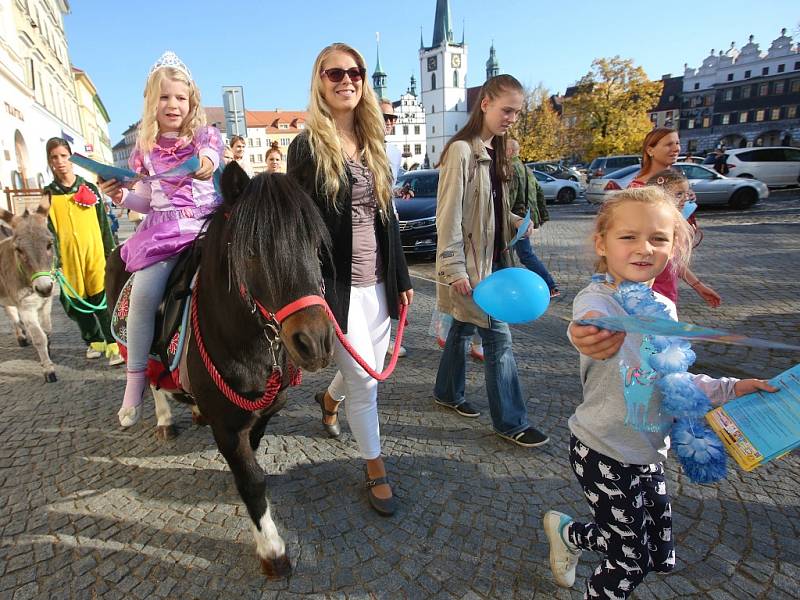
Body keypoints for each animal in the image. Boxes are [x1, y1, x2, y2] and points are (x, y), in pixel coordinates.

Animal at [0, 199, 57, 382]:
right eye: (18, 250)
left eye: (49, 244)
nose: (44, 287)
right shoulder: (26, 307)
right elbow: (39, 337)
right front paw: (48, 370)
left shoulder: (47, 302)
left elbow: (47, 330)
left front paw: (48, 348)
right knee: (11, 315)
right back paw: (21, 336)